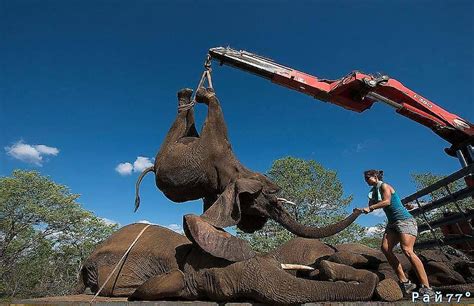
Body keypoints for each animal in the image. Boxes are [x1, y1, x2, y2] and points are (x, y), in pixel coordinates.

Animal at [132, 88, 360, 260]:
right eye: (267, 199)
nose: (359, 208)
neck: (238, 172)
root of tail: (153, 166)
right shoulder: (217, 144)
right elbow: (216, 118)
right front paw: (206, 94)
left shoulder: (215, 190)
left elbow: (208, 208)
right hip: (166, 151)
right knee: (181, 122)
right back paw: (187, 95)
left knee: (188, 125)